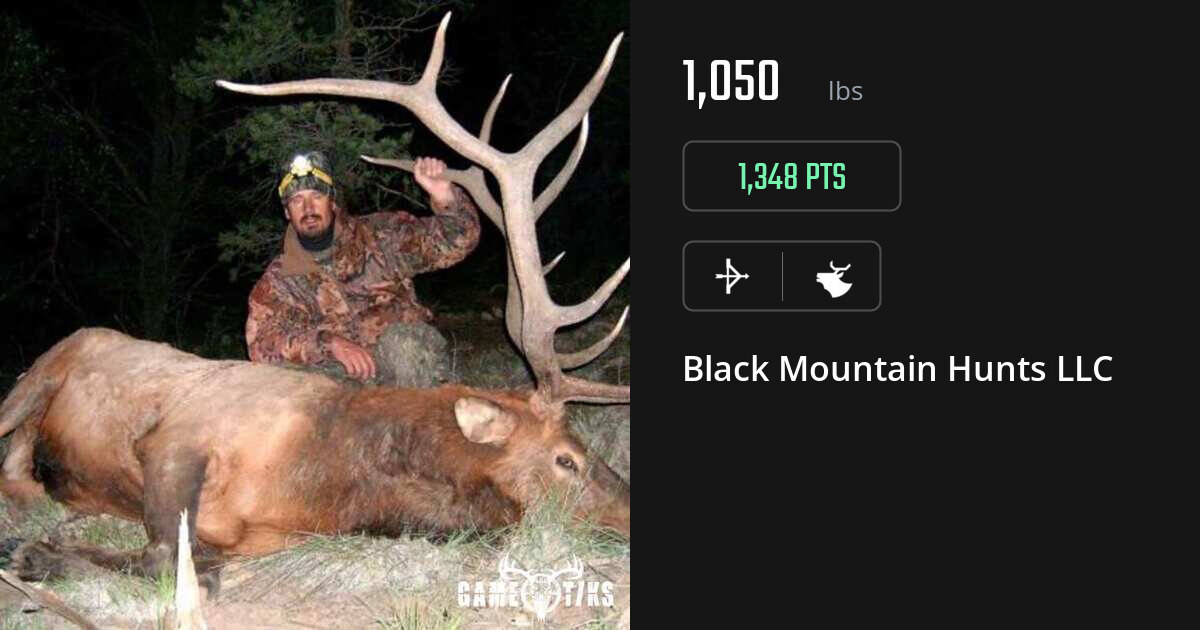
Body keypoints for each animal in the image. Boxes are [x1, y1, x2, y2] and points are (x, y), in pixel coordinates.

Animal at [0, 13, 628, 588]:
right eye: (567, 459)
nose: (625, 509)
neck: (320, 477)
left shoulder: (258, 537)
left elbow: (196, 564)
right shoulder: (175, 439)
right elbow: (170, 561)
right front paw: (38, 555)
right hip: (41, 370)